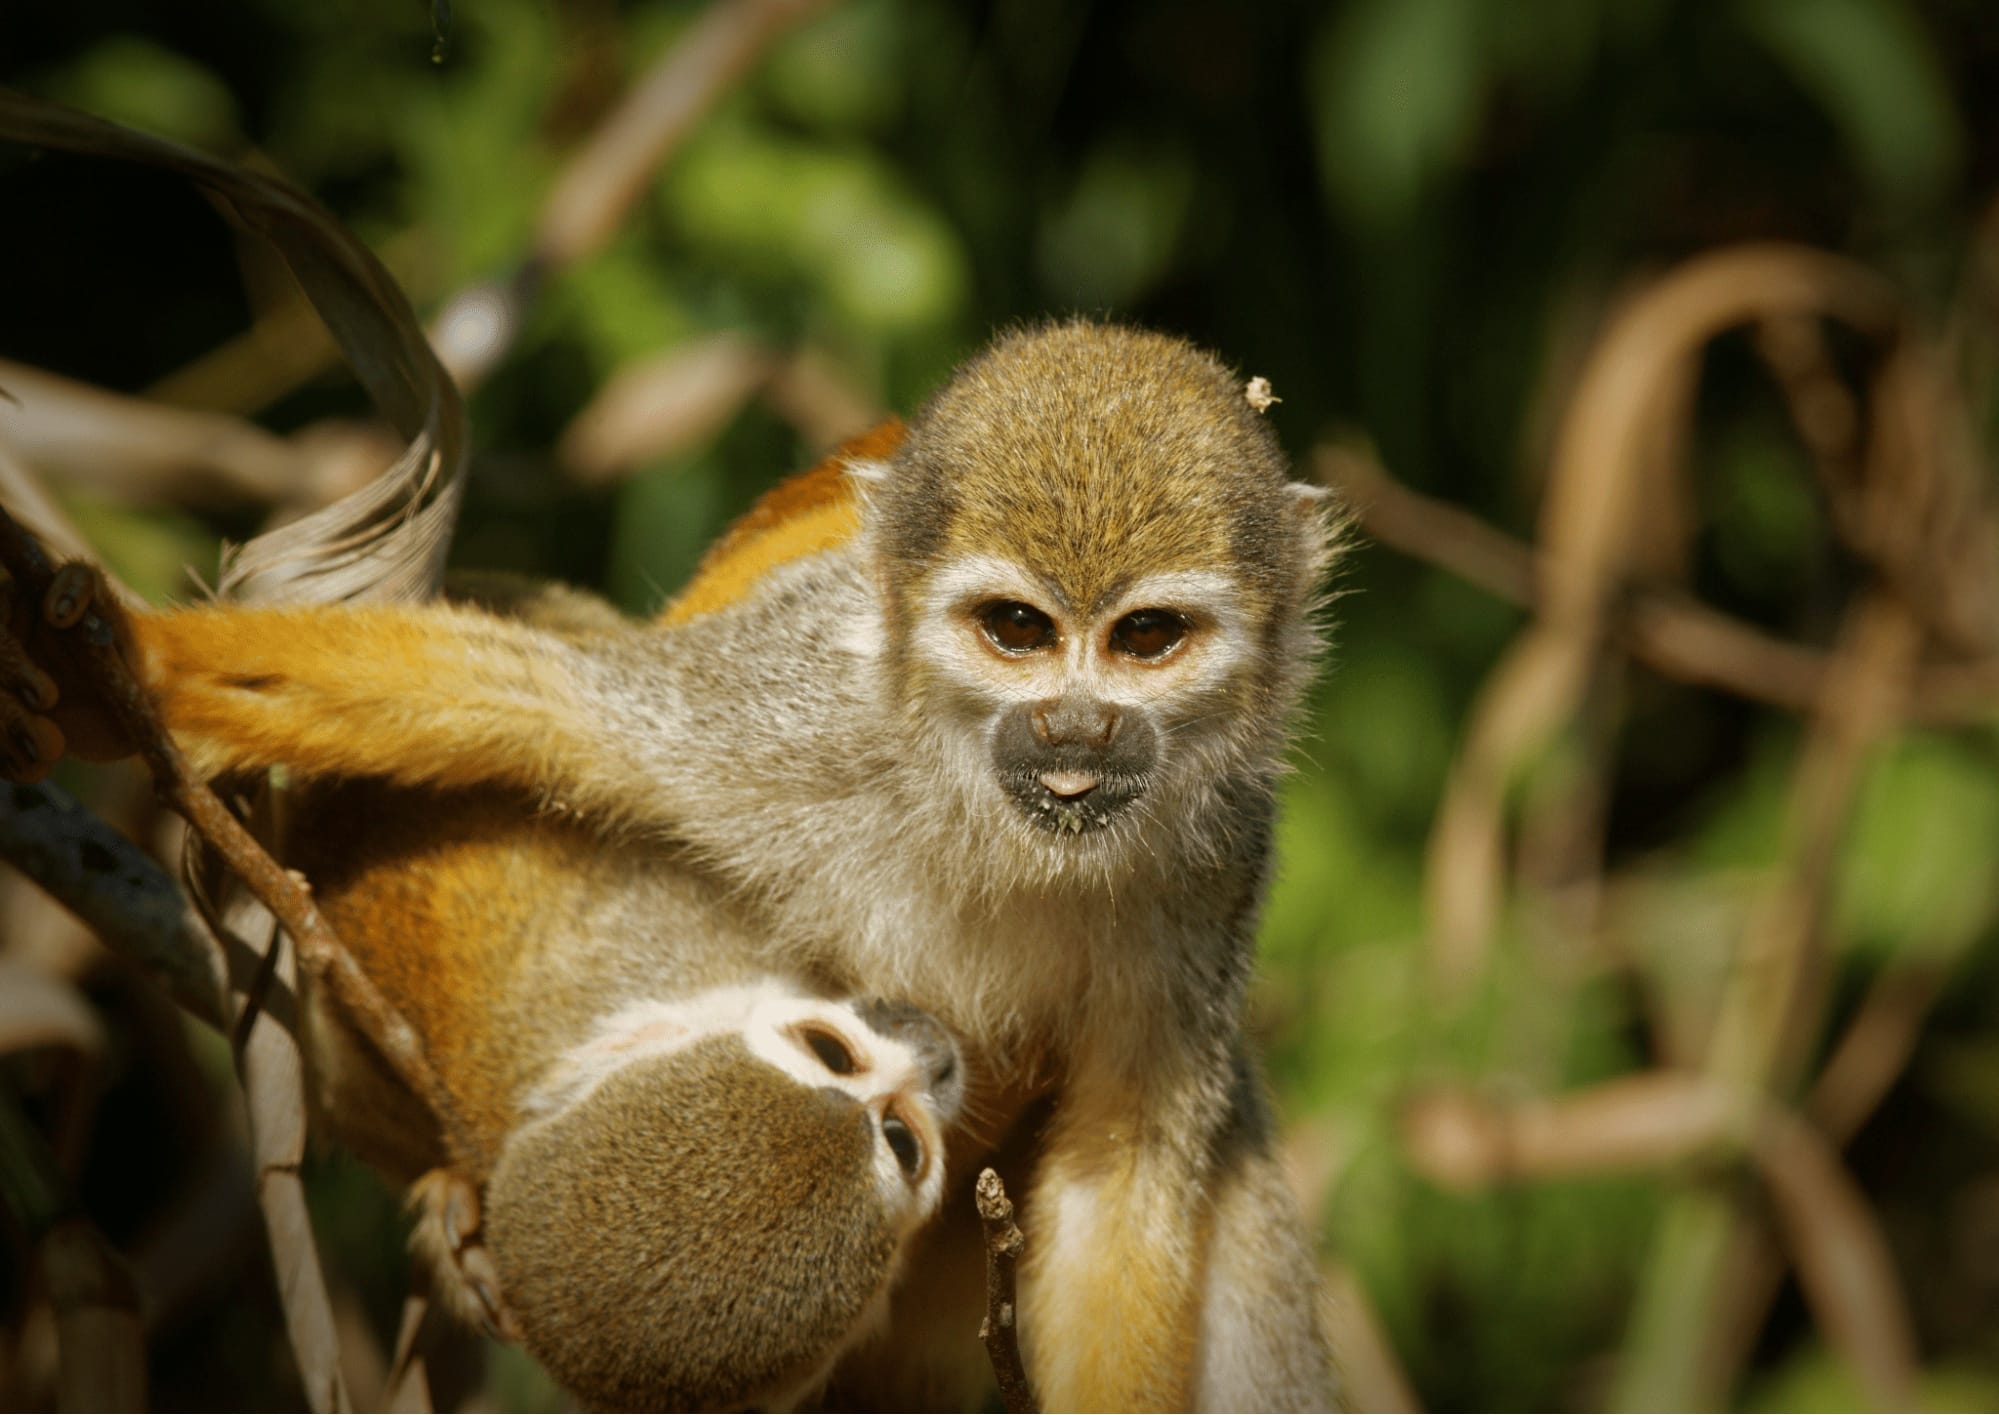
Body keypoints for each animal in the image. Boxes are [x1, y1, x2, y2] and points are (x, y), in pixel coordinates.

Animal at [3, 323, 1343, 1415]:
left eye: (1145, 638)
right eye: (1018, 630)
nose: (1075, 731)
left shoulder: (1217, 864)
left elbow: (1121, 1188)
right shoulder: (797, 712)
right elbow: (553, 713)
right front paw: (129, 667)